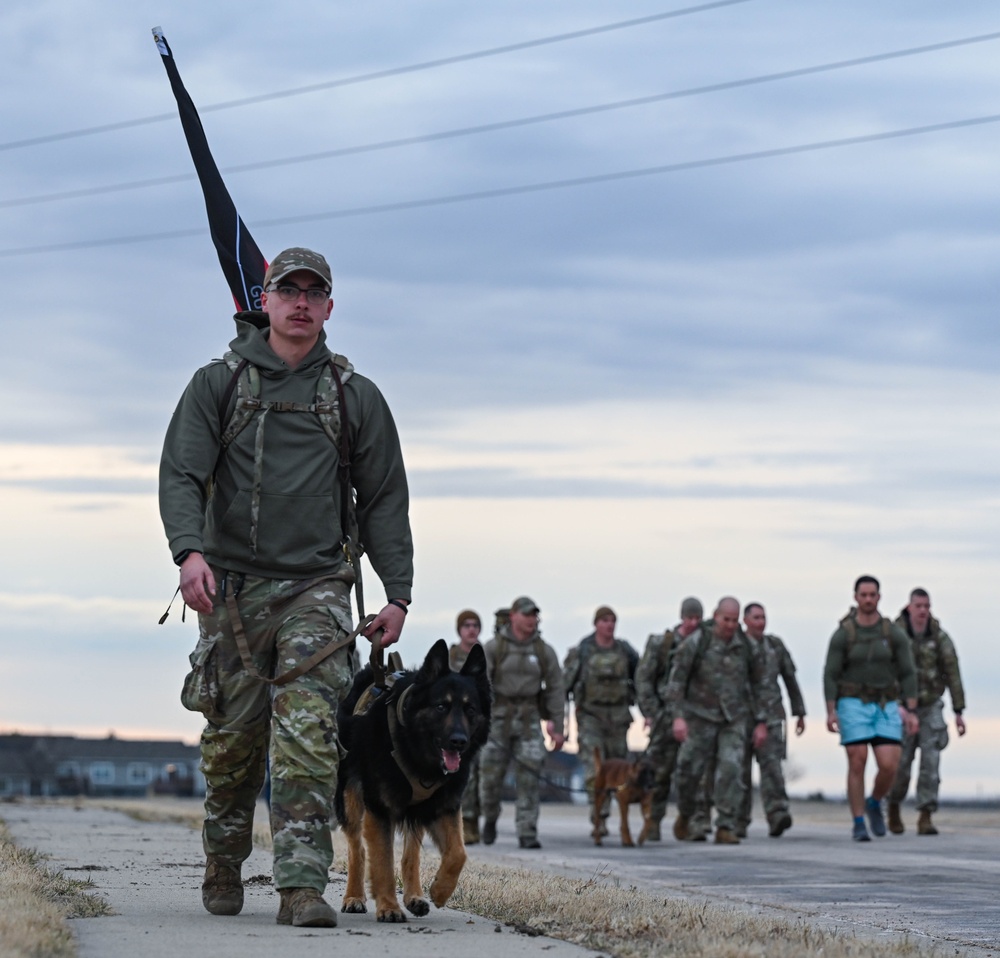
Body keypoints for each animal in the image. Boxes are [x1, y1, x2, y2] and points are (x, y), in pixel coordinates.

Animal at [336, 640, 492, 928]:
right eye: (441, 707)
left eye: (470, 709)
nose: (459, 741)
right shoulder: (379, 809)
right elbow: (382, 861)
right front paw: (388, 907)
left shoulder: (445, 807)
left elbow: (458, 853)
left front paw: (440, 890)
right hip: (350, 800)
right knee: (357, 849)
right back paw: (354, 897)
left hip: (417, 811)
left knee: (411, 853)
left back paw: (414, 896)